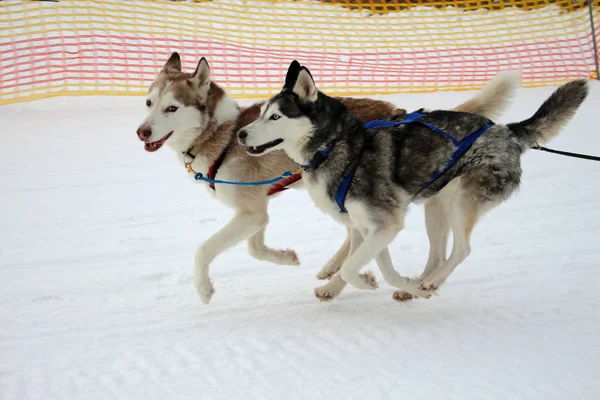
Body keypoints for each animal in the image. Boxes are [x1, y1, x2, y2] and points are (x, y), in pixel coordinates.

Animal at [137, 53, 520, 304]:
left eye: (172, 108)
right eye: (148, 103)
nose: (142, 132)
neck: (221, 133)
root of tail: (400, 112)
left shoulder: (251, 212)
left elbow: (206, 249)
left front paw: (204, 289)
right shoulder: (255, 212)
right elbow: (256, 248)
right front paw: (286, 257)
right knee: (359, 236)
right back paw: (338, 273)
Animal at [238, 61, 584, 302]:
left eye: (276, 117)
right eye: (261, 112)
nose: (240, 134)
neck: (334, 145)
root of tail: (507, 130)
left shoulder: (386, 224)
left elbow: (352, 265)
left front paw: (370, 282)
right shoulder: (373, 226)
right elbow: (374, 266)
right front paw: (382, 284)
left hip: (461, 201)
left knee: (462, 250)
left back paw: (431, 282)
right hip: (436, 205)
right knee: (439, 254)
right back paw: (419, 285)